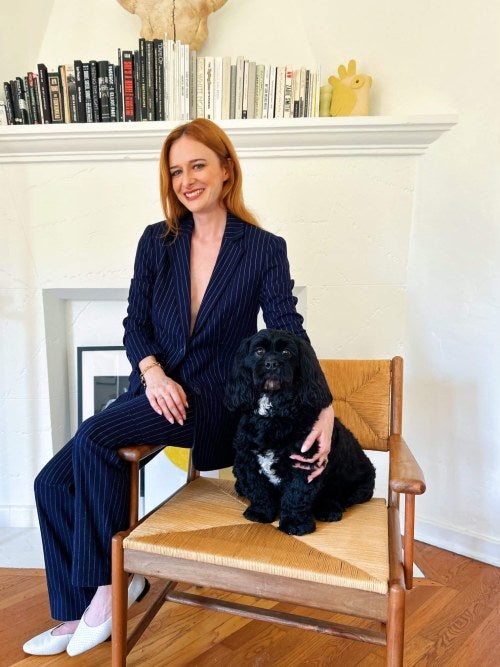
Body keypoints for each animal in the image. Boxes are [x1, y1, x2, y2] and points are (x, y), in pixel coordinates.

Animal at [226, 330, 376, 536]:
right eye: (259, 351)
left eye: (287, 353)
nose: (272, 363)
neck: (273, 415)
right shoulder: (247, 462)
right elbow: (258, 490)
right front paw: (260, 512)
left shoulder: (304, 464)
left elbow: (296, 496)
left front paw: (295, 524)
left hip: (360, 485)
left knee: (339, 497)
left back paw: (329, 509)